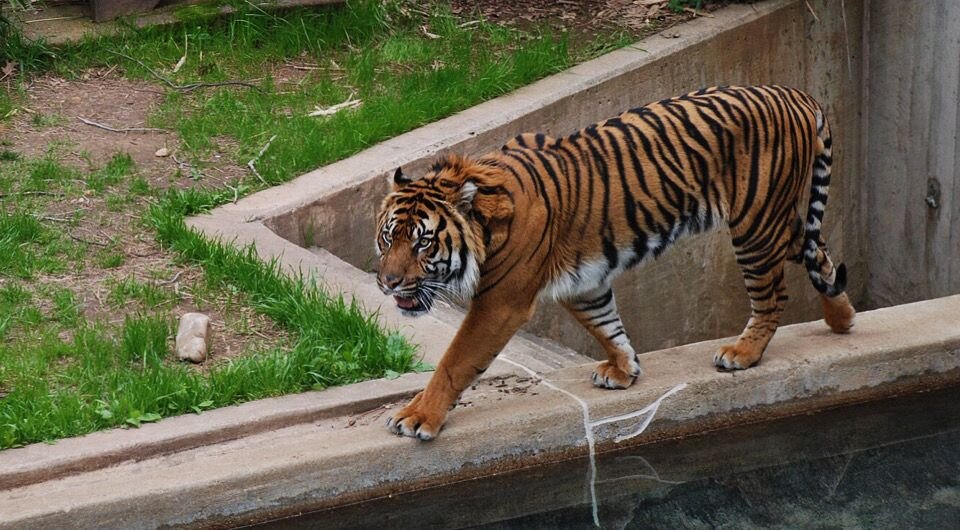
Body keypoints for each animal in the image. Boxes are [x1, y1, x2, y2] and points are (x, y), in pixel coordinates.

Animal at [375, 85, 856, 441]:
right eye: (387, 238)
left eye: (422, 244)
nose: (387, 283)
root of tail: (795, 94)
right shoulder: (582, 283)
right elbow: (606, 326)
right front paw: (625, 370)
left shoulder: (501, 302)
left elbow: (455, 361)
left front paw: (417, 417)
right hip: (774, 220)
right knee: (816, 252)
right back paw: (842, 319)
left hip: (755, 224)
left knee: (773, 294)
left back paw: (743, 352)